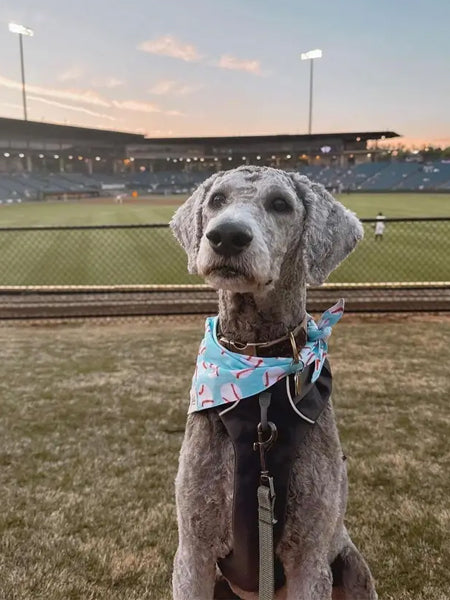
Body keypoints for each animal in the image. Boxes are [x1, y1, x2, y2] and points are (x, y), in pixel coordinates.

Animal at [169, 165, 376, 600]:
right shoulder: (193, 551)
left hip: (352, 565)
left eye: (280, 203)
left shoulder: (309, 558)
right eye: (217, 200)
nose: (226, 235)